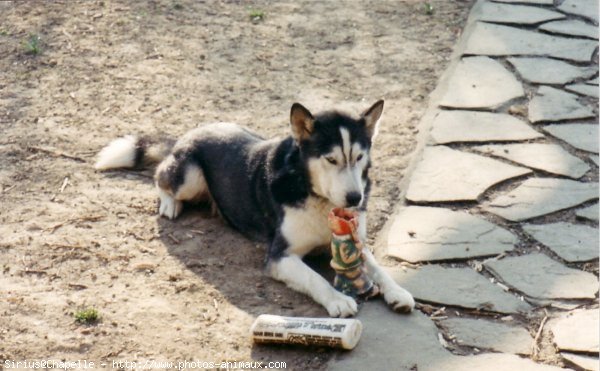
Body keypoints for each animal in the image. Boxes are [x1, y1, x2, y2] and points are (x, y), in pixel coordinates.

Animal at [96, 101, 414, 316]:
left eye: (359, 157)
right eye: (331, 160)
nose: (354, 198)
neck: (315, 195)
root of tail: (190, 132)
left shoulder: (355, 241)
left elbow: (378, 268)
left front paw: (397, 291)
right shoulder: (280, 257)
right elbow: (315, 279)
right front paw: (337, 299)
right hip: (189, 176)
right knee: (161, 175)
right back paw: (169, 203)